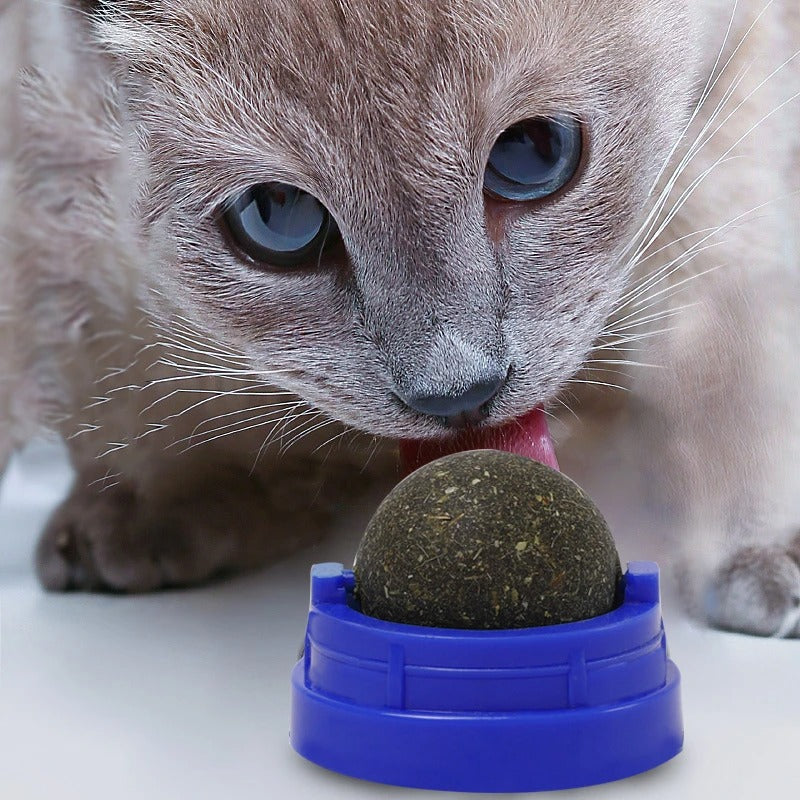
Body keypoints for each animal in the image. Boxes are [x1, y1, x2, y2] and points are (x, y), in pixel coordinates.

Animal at [0, 0, 796, 636]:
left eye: (534, 152)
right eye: (277, 217)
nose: (460, 393)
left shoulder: (730, 138)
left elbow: (733, 369)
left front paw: (762, 551)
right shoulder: (66, 243)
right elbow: (149, 404)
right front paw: (149, 510)